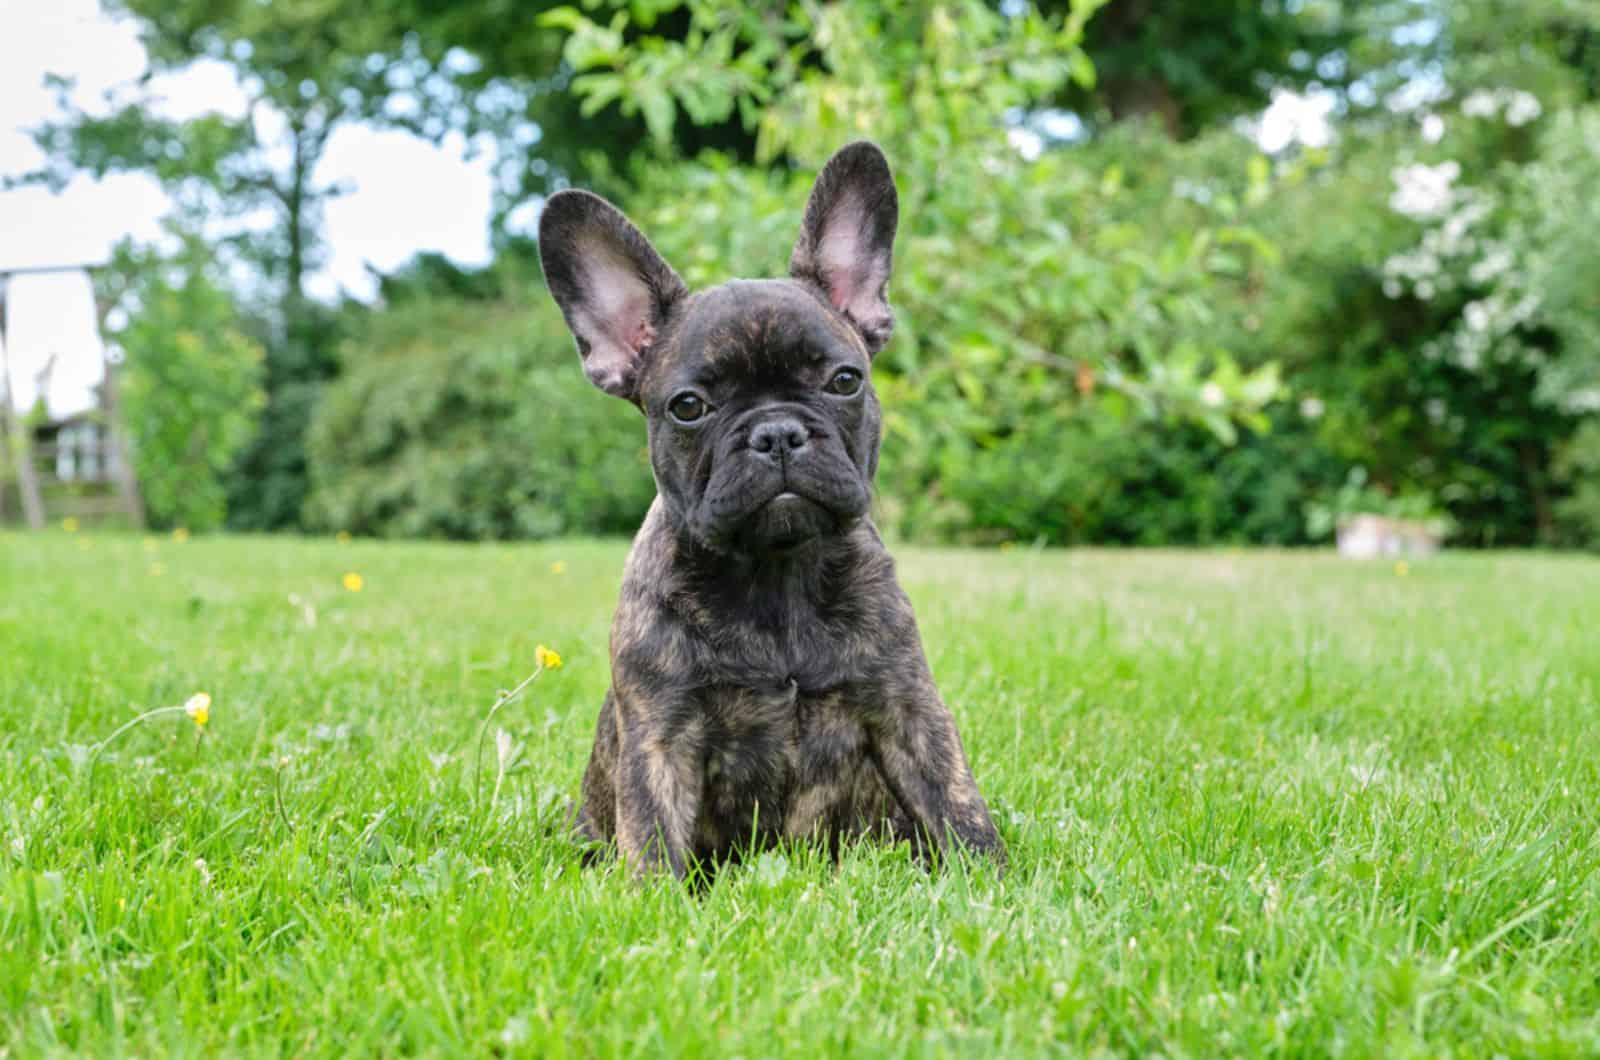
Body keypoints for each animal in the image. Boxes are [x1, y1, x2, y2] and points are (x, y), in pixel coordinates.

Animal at [544, 139, 1004, 877]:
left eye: (845, 380)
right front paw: (653, 898)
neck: (776, 574)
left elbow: (956, 804)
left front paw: (996, 880)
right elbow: (653, 837)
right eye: (689, 406)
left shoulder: (908, 707)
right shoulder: (661, 735)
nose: (777, 433)